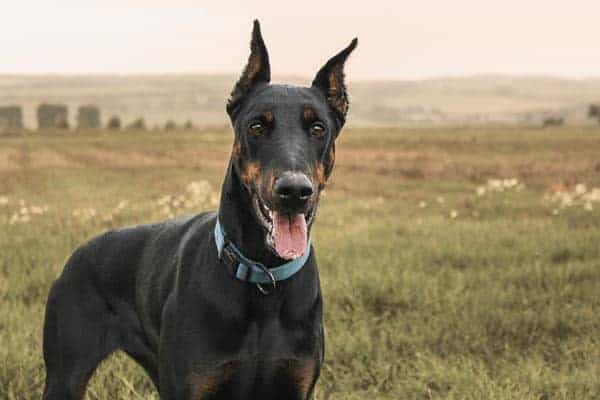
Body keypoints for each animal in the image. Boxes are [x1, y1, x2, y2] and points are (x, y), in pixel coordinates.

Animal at [42, 20, 356, 398]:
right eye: (257, 125)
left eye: (318, 127)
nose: (294, 191)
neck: (263, 279)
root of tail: (78, 254)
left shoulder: (295, 383)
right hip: (66, 373)